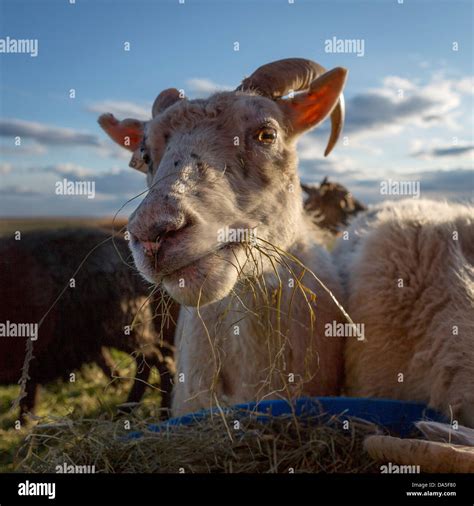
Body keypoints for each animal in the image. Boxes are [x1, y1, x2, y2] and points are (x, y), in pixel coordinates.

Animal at [0, 227, 179, 422]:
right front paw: (25, 422)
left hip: (122, 325)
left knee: (157, 358)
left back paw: (158, 414)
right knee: (151, 359)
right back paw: (127, 410)